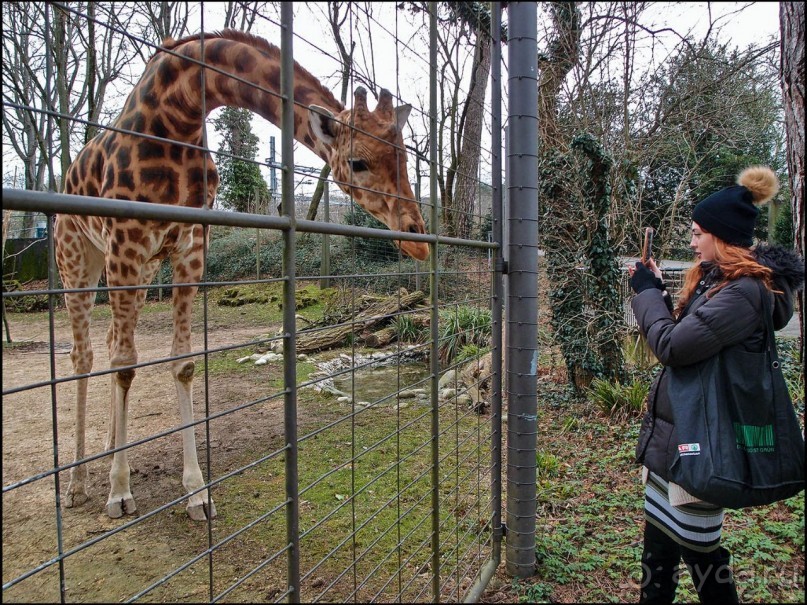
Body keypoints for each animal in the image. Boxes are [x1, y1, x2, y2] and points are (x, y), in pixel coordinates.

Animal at [56, 29, 430, 520]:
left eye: (404, 156)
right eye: (357, 162)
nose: (418, 238)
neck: (176, 113)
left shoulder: (189, 246)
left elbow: (182, 363)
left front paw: (197, 493)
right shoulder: (126, 240)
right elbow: (125, 365)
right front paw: (119, 492)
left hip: (140, 267)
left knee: (109, 340)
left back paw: (107, 446)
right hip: (80, 257)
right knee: (83, 356)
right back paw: (78, 482)